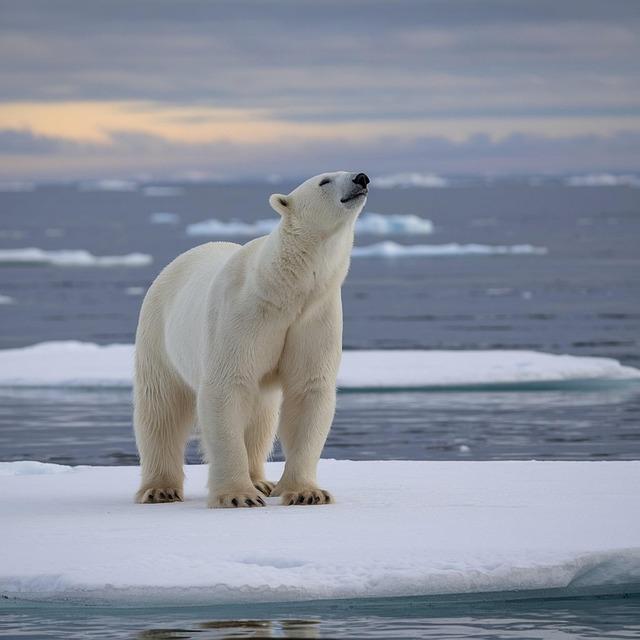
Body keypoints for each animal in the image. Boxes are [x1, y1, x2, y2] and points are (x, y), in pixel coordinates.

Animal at [134, 171, 370, 510]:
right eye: (324, 181)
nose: (361, 178)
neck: (284, 290)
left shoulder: (314, 317)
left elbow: (308, 390)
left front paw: (307, 492)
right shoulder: (243, 316)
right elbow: (227, 388)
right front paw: (237, 495)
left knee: (261, 418)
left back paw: (261, 480)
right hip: (158, 335)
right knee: (161, 409)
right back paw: (159, 489)